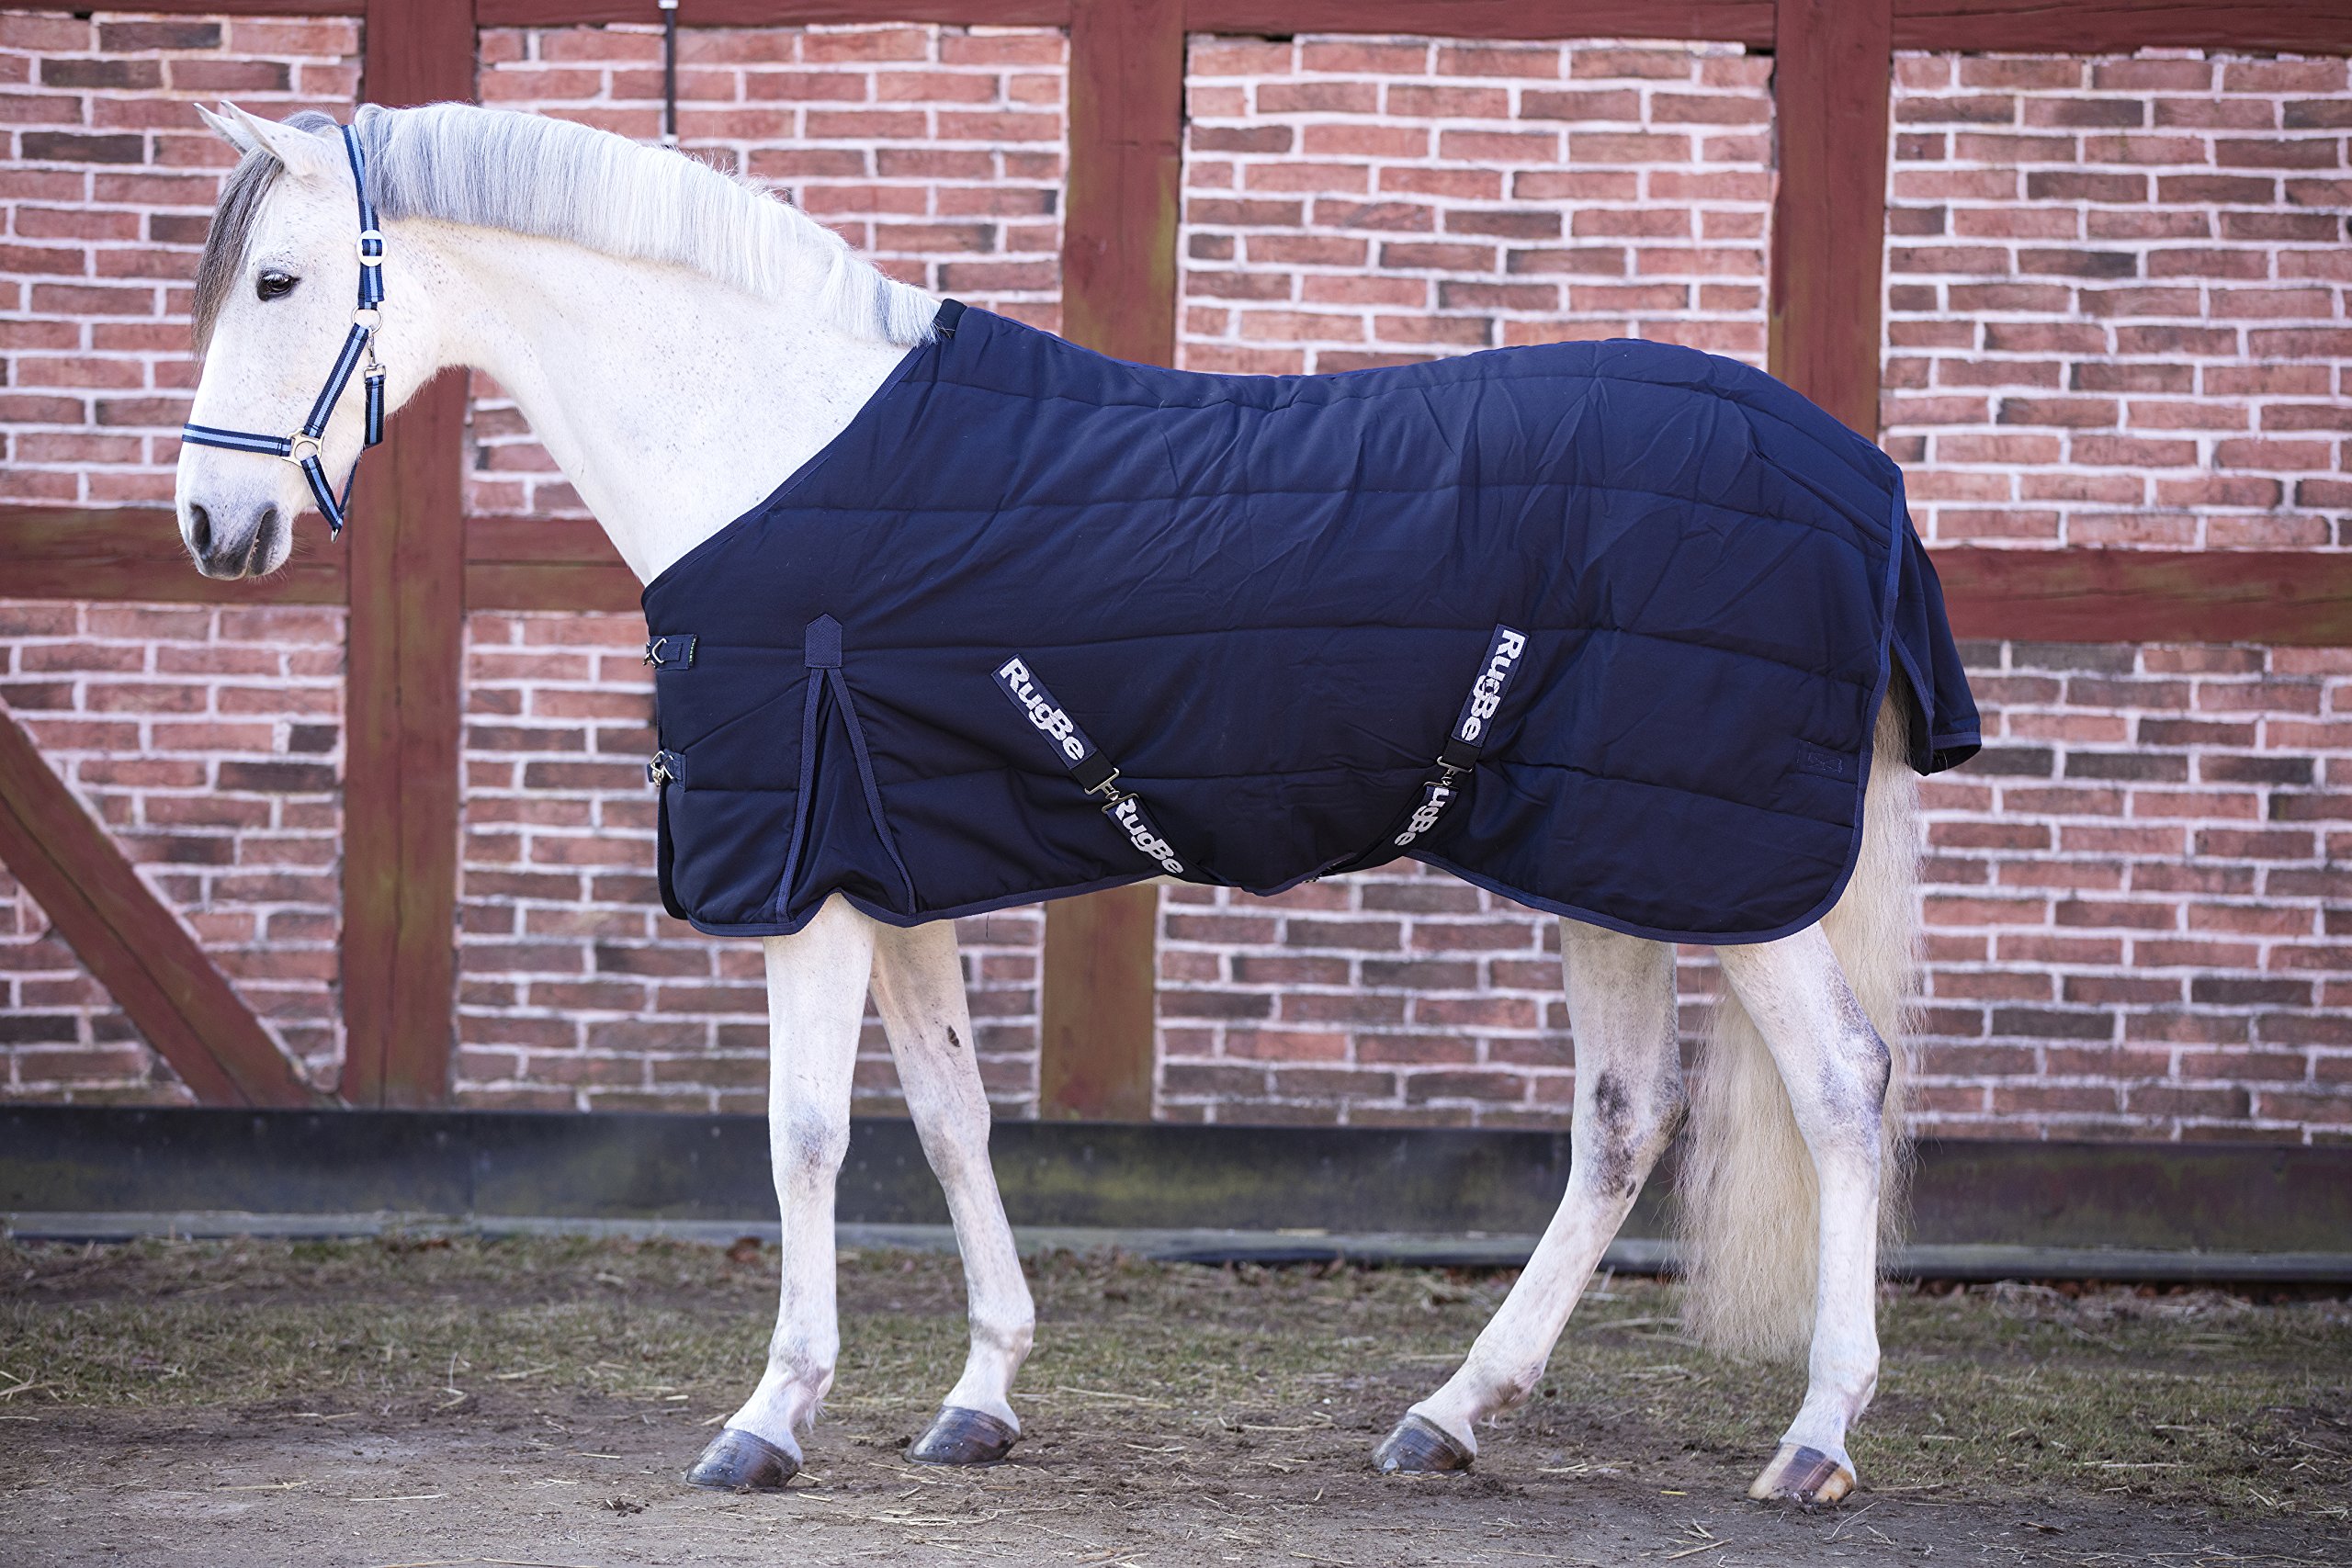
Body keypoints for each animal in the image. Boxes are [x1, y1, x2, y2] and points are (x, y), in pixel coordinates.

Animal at [175, 100, 1976, 1508]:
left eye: (278, 280)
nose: (208, 525)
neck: (768, 439)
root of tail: (1862, 480)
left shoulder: (809, 881)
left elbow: (809, 1132)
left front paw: (769, 1417)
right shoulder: (888, 871)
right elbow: (951, 1117)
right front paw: (978, 1396)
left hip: (1715, 872)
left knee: (1840, 1086)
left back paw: (1815, 1439)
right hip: (1613, 864)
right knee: (1621, 1124)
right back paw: (1451, 1417)